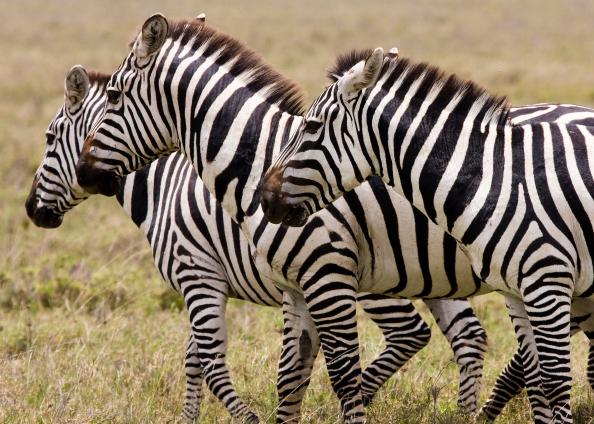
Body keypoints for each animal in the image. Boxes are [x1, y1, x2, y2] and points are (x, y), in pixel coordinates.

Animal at [24, 64, 490, 422]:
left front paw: (247, 416)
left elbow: (209, 362)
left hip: (373, 280)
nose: (31, 210)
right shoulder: (207, 282)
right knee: (468, 336)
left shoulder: (197, 273)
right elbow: (194, 359)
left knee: (410, 332)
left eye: (49, 138)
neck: (164, 186)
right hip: (434, 274)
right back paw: (465, 413)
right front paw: (188, 418)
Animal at [262, 48, 592, 422]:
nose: (265, 197)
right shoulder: (518, 293)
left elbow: (554, 381)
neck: (496, 181)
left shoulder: (547, 282)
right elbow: (537, 380)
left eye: (311, 126)